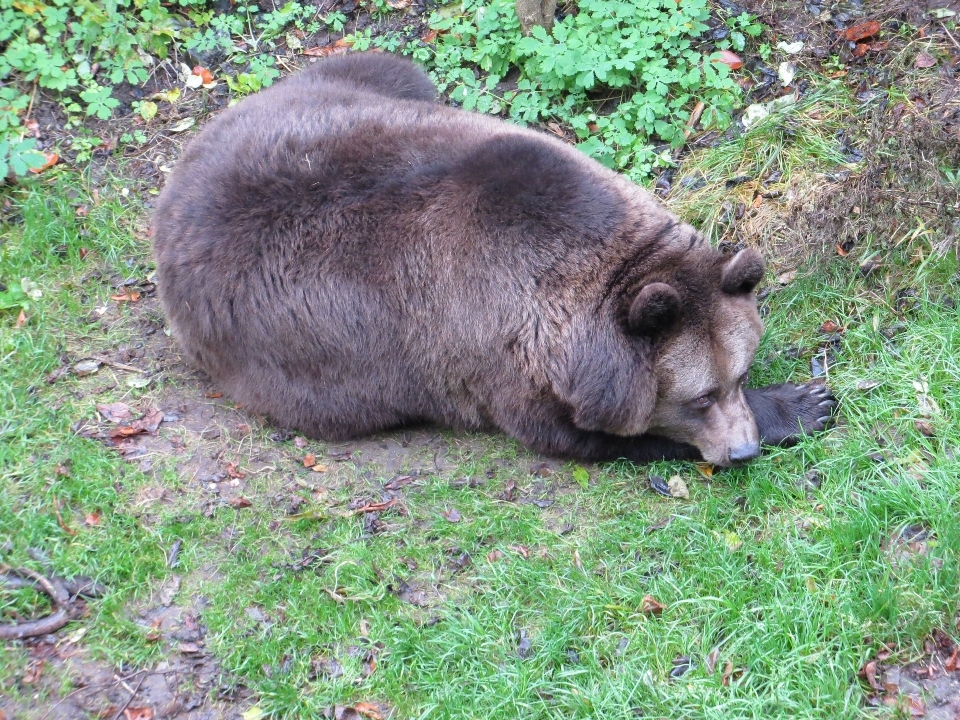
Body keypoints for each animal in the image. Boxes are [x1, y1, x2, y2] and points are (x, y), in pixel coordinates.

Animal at [150, 52, 832, 466]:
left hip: (333, 84)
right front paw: (800, 405)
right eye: (699, 396)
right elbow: (594, 436)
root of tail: (177, 180)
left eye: (737, 373)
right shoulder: (493, 362)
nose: (740, 451)